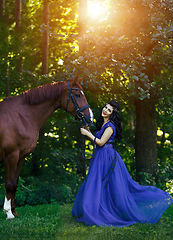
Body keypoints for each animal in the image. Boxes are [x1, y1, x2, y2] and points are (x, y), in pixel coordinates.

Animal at [0, 75, 93, 219]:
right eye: (77, 95)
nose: (90, 118)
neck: (21, 116)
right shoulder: (11, 155)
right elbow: (9, 183)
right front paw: (9, 213)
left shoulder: (21, 156)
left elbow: (15, 183)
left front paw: (14, 211)